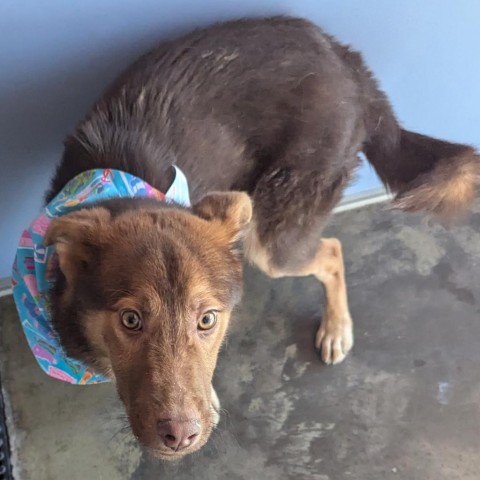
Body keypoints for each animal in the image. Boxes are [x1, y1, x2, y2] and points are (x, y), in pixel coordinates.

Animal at [13, 15, 478, 458]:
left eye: (207, 320)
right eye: (130, 320)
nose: (181, 437)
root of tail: (348, 61)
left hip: (273, 240)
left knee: (331, 249)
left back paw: (336, 327)